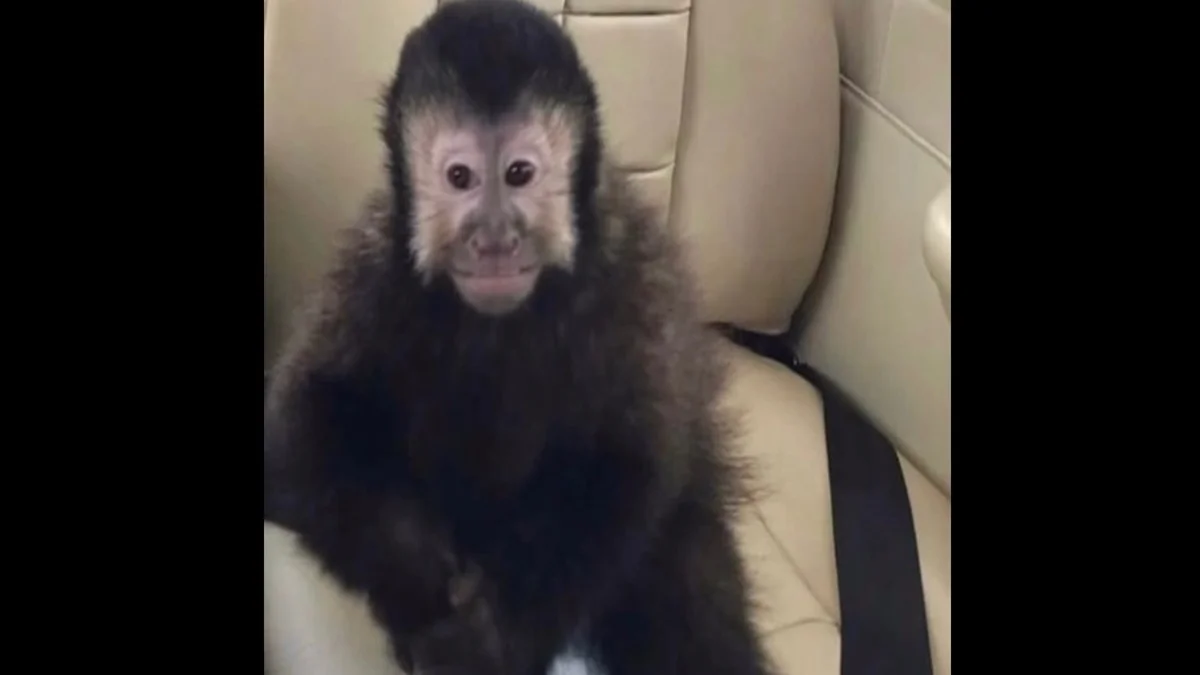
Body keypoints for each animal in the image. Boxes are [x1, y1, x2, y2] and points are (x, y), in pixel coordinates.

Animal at [263, 1, 776, 674]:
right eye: (459, 177)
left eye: (519, 173)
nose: (495, 238)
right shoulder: (373, 270)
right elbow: (307, 418)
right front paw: (420, 585)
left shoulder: (630, 277)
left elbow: (627, 464)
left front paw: (491, 634)